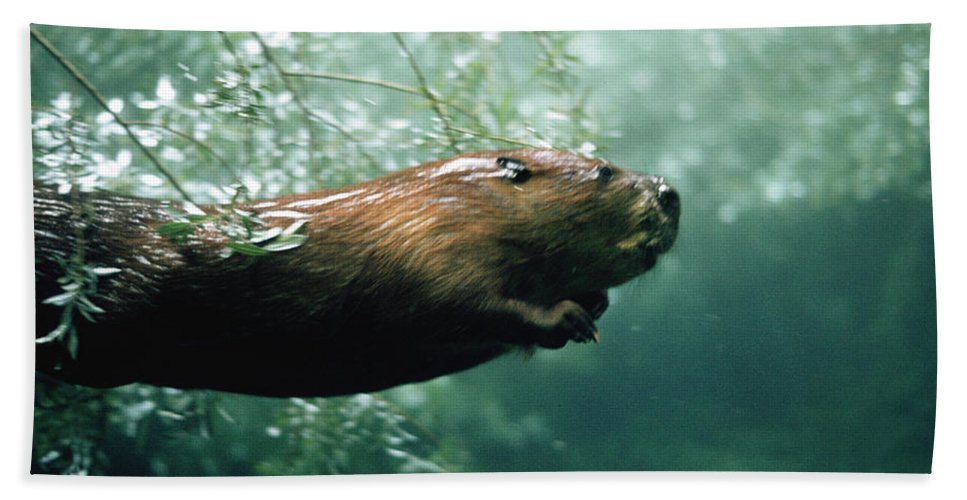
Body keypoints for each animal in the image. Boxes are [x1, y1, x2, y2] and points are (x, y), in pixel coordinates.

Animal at [34, 146, 676, 396]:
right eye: (604, 171)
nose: (671, 194)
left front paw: (594, 303)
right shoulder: (431, 240)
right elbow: (465, 301)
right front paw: (572, 318)